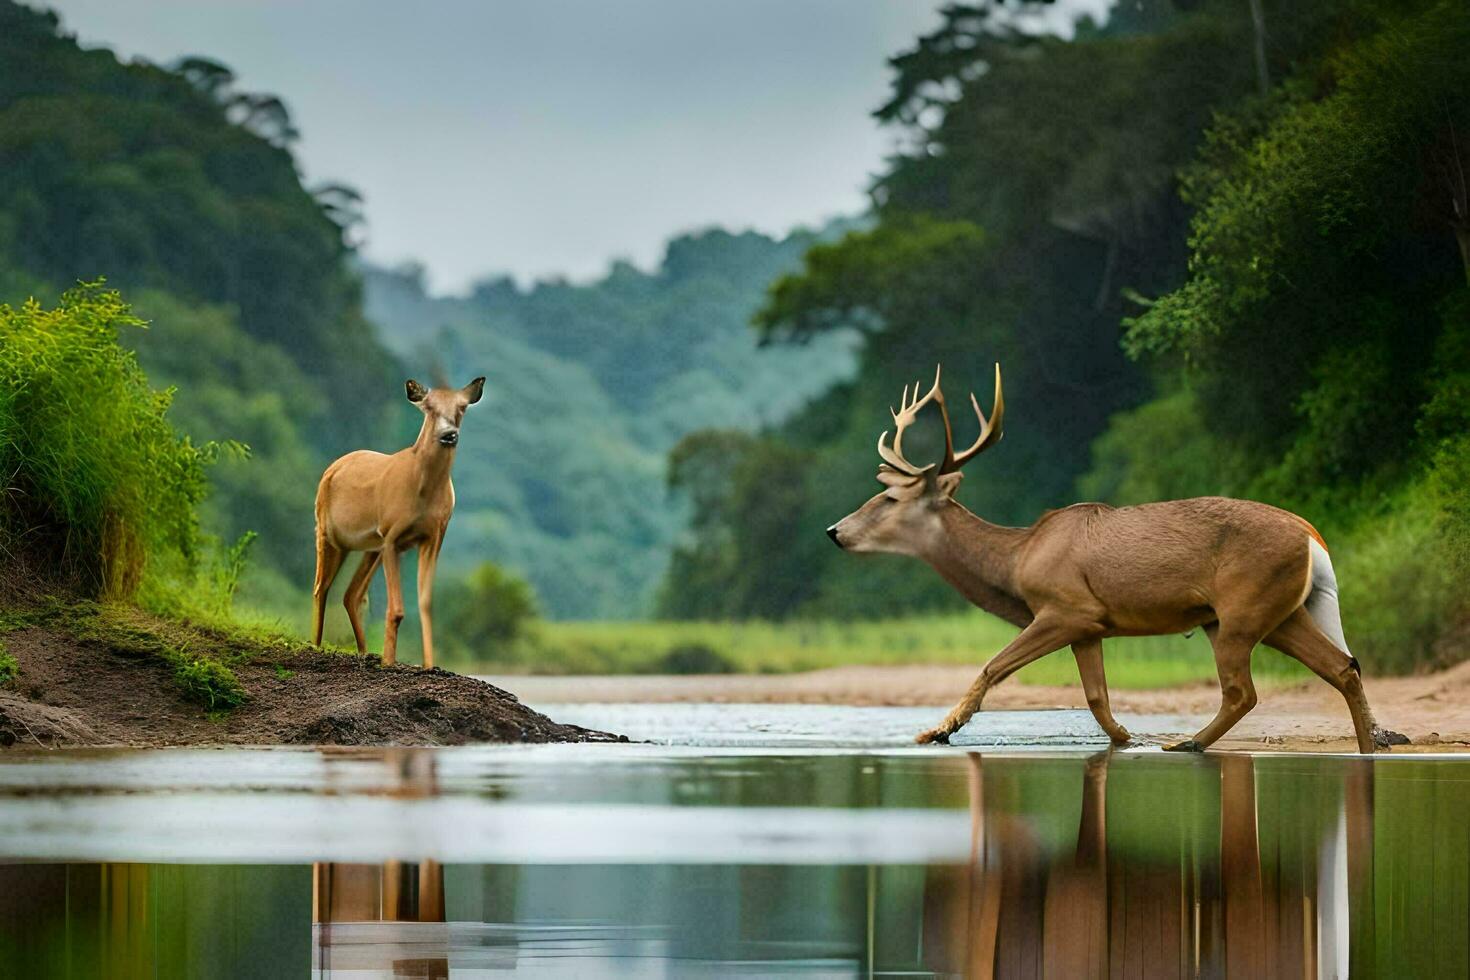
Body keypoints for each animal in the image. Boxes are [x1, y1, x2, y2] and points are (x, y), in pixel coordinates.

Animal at [307, 376, 485, 667]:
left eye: (462, 407)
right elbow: (396, 609)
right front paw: (389, 662)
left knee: (351, 594)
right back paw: (316, 645)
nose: (449, 434)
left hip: (370, 547)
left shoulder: (433, 537)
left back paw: (364, 652)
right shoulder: (391, 535)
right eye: (429, 407)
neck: (422, 494)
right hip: (327, 532)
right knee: (320, 587)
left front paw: (428, 664)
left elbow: (425, 604)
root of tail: (333, 466)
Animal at [823, 364, 1405, 758]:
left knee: (1244, 690)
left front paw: (938, 729)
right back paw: (1367, 750)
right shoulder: (1092, 626)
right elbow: (1097, 698)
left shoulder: (1065, 607)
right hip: (1279, 610)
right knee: (1344, 666)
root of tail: (1313, 536)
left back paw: (1187, 743)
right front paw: (1126, 739)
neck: (1016, 559)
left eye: (889, 498)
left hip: (1241, 609)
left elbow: (993, 665)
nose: (835, 531)